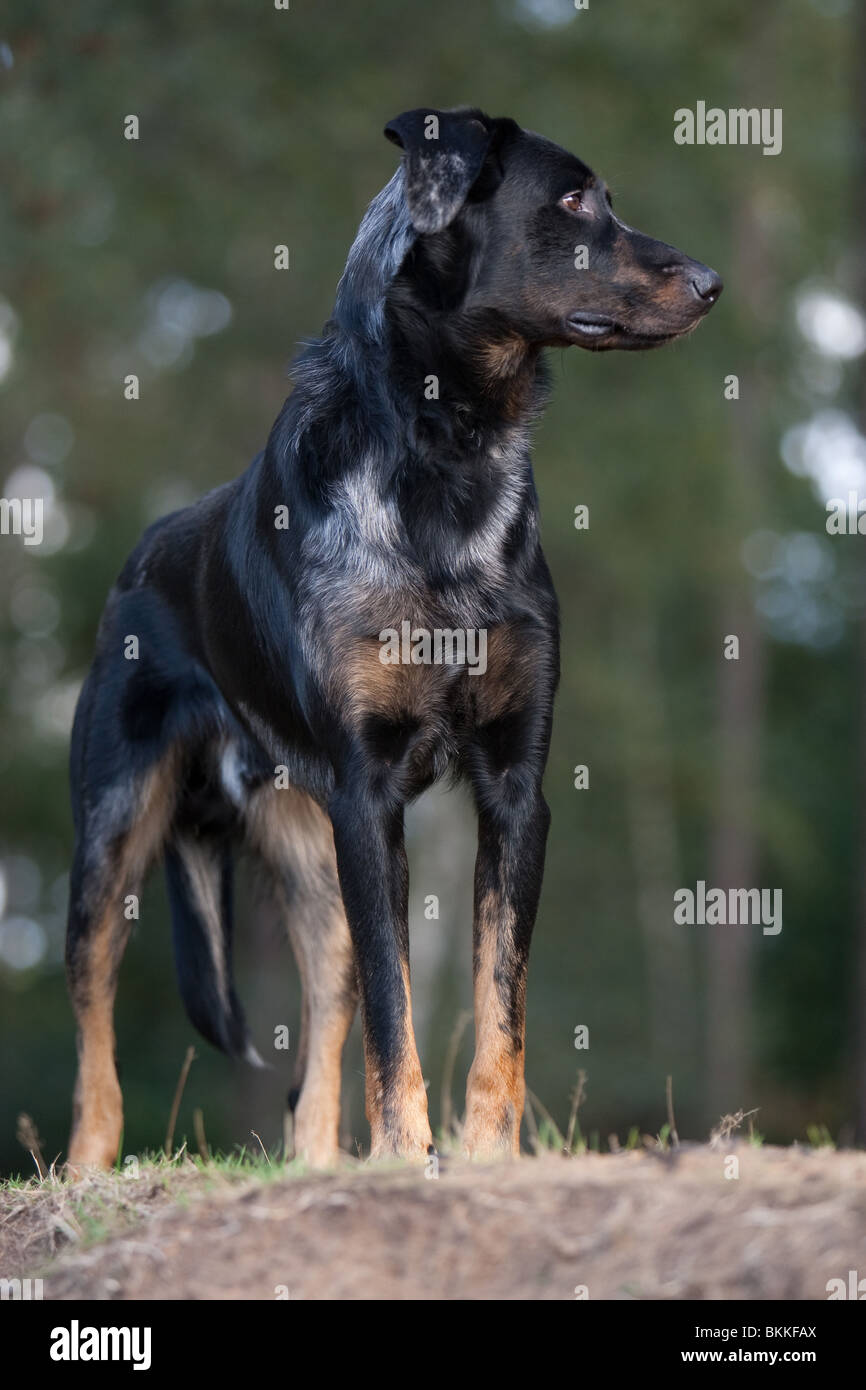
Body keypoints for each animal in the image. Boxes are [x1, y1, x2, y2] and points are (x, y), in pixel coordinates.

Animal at [66, 111, 717, 1173]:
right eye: (575, 198)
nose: (710, 284)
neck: (448, 444)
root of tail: (139, 560)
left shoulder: (513, 790)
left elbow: (499, 1003)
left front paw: (486, 1155)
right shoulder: (369, 802)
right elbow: (395, 1007)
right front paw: (411, 1154)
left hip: (315, 870)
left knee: (318, 1046)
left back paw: (320, 1166)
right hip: (112, 839)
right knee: (96, 1025)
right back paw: (85, 1169)